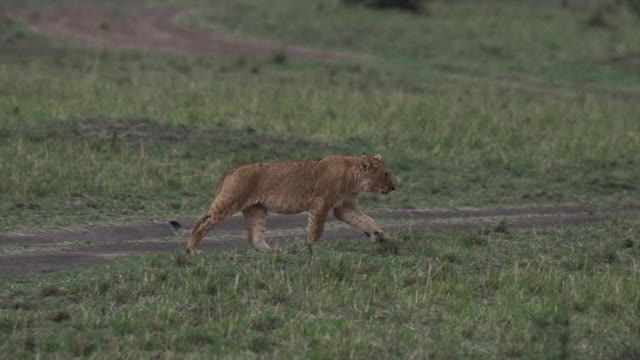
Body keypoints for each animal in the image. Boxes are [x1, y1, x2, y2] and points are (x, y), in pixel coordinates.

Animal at [185, 154, 396, 253]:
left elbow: (366, 220)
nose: (394, 187)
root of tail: (232, 170)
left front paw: (382, 236)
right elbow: (317, 228)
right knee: (202, 221)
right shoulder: (321, 203)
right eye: (386, 174)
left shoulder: (344, 207)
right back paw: (192, 250)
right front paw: (311, 247)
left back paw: (272, 252)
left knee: (255, 236)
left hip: (256, 210)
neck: (353, 178)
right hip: (231, 200)